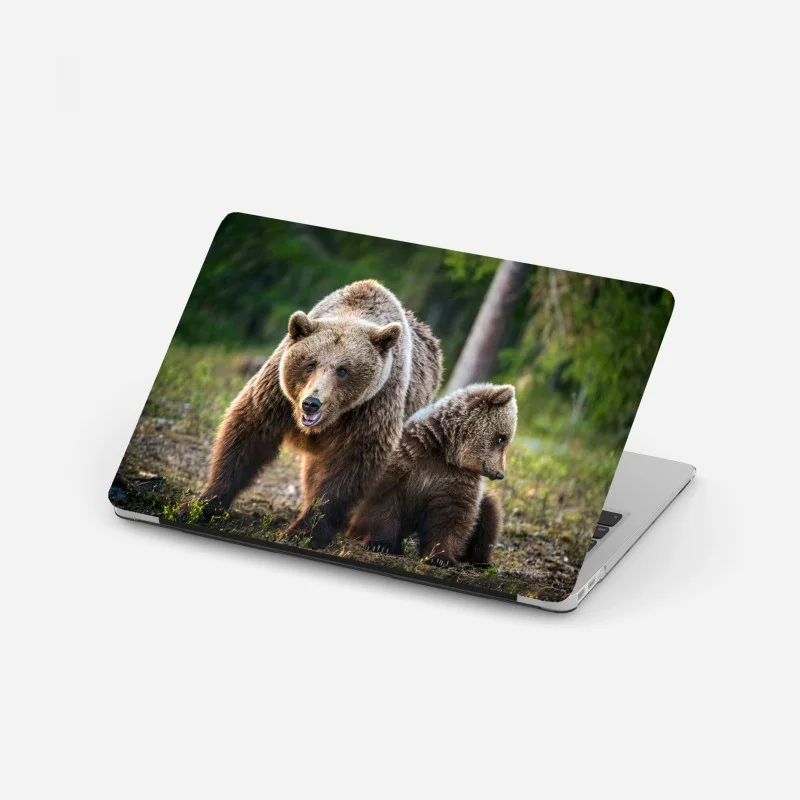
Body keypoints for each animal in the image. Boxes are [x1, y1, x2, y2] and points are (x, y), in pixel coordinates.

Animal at [195, 280, 442, 548]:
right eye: (310, 364)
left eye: (343, 370)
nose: (311, 403)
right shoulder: (278, 394)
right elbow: (248, 433)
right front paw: (204, 504)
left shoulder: (373, 406)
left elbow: (349, 467)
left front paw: (302, 531)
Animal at [346, 383, 518, 567]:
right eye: (501, 439)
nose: (500, 473)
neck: (445, 450)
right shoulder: (406, 460)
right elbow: (383, 501)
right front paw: (380, 544)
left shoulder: (455, 479)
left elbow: (451, 516)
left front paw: (441, 558)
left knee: (489, 514)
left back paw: (480, 561)